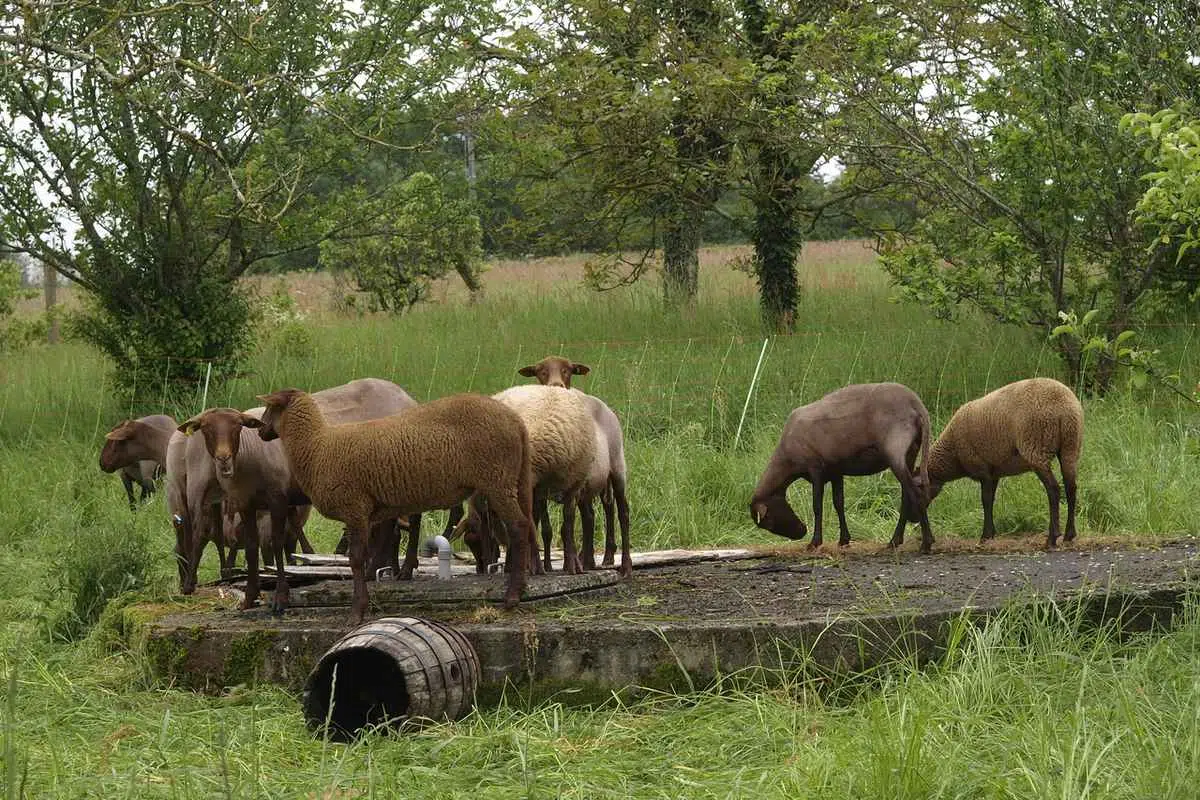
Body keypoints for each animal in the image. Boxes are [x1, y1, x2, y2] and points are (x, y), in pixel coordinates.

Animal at [254, 391, 535, 623]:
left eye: (269, 408)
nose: (260, 432)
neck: (317, 448)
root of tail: (516, 421)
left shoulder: (355, 508)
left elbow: (356, 559)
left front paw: (357, 611)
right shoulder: (369, 511)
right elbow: (376, 548)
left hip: (496, 479)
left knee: (518, 527)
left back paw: (512, 595)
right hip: (516, 479)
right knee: (527, 523)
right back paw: (522, 585)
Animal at [516, 357, 633, 575]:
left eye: (567, 370)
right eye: (541, 372)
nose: (556, 385)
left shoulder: (574, 484)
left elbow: (566, 526)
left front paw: (567, 565)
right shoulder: (541, 490)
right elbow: (543, 526)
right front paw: (541, 565)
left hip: (616, 468)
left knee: (621, 512)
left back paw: (623, 565)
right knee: (593, 514)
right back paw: (590, 560)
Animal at [748, 383, 936, 554]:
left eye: (769, 521)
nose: (801, 532)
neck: (787, 459)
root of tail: (917, 404)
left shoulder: (815, 468)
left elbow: (817, 506)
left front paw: (814, 543)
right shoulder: (835, 470)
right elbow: (838, 503)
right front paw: (844, 540)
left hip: (895, 448)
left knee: (916, 495)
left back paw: (926, 543)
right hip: (910, 452)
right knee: (907, 496)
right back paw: (895, 541)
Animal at [907, 379, 1089, 546]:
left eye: (915, 491)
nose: (911, 518)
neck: (952, 454)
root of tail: (1064, 408)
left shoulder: (982, 469)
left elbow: (985, 500)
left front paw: (985, 536)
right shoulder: (993, 472)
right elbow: (991, 500)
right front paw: (991, 533)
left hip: (1036, 447)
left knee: (1053, 489)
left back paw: (1052, 537)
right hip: (1071, 446)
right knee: (1071, 488)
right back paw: (1069, 534)